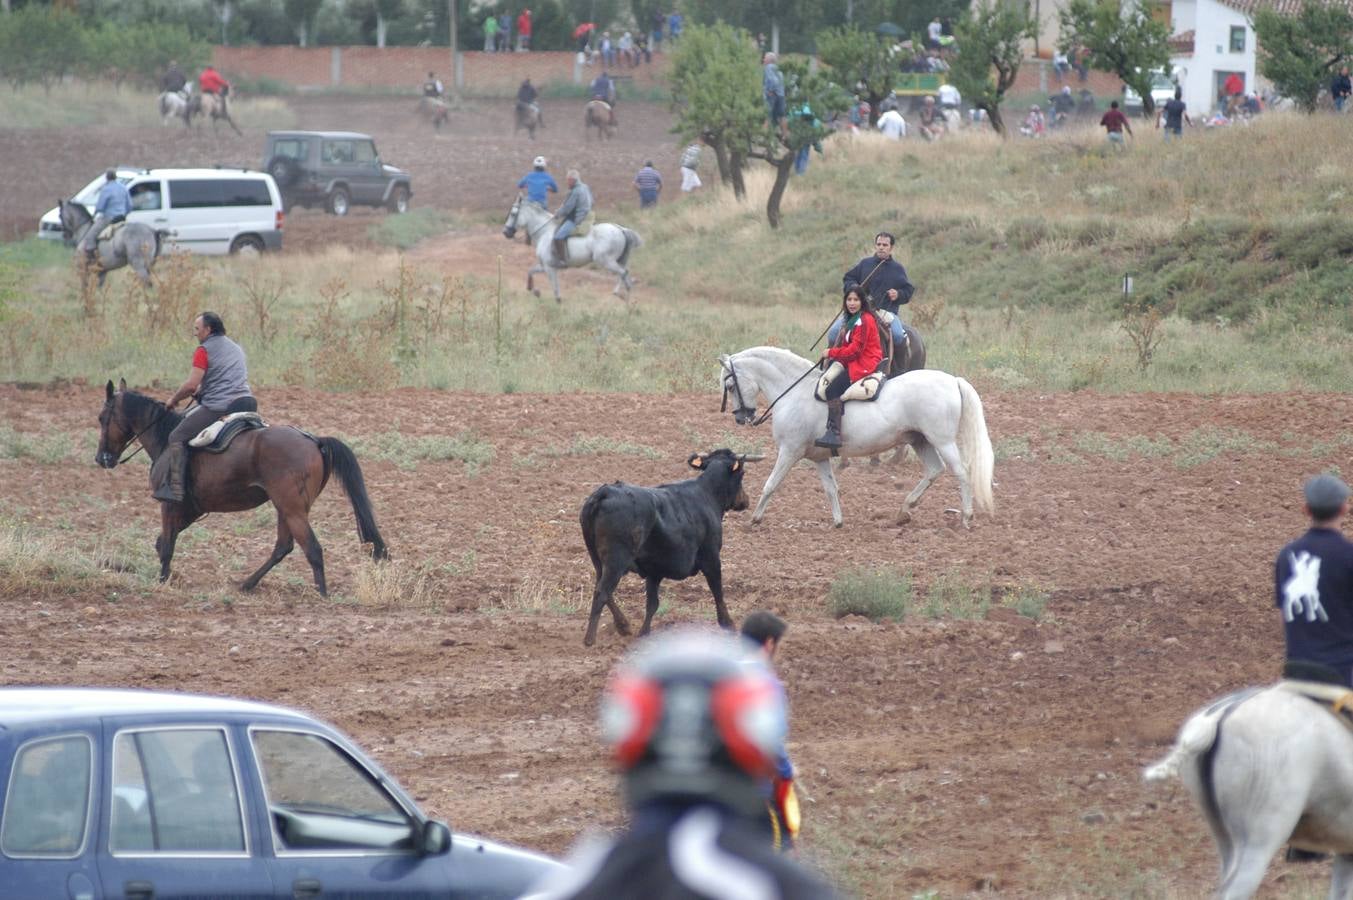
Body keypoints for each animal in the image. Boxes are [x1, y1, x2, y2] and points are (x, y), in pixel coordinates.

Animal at [96, 376, 386, 592]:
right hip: (287, 508)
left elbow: (167, 545)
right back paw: (248, 584)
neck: (165, 435)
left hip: (290, 508)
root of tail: (314, 440)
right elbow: (163, 541)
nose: (102, 458)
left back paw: (321, 594)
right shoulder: (192, 508)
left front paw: (162, 582)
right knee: (283, 547)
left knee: (311, 548)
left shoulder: (169, 505)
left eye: (101, 417)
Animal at [500, 188, 641, 301]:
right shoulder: (544, 266)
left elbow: (556, 290)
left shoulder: (550, 268)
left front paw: (555, 301)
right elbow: (530, 271)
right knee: (624, 273)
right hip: (618, 260)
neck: (544, 232)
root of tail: (620, 229)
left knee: (623, 273)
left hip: (606, 261)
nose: (506, 232)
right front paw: (534, 290)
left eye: (513, 213)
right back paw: (623, 295)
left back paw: (622, 294)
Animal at [576, 449, 763, 646]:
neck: (706, 495)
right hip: (616, 561)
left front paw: (644, 633)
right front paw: (727, 623)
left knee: (601, 588)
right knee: (602, 592)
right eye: (743, 473)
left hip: (598, 560)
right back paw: (590, 639)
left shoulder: (654, 571)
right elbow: (717, 590)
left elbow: (652, 604)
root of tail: (605, 492)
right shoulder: (711, 558)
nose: (745, 501)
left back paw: (623, 625)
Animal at [719, 343, 995, 527]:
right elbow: (831, 488)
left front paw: (754, 519)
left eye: (730, 386)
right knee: (934, 470)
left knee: (962, 472)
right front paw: (838, 522)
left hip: (942, 441)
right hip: (920, 440)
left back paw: (966, 517)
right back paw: (904, 510)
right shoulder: (819, 457)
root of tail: (952, 380)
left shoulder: (790, 451)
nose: (741, 418)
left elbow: (771, 484)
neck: (796, 392)